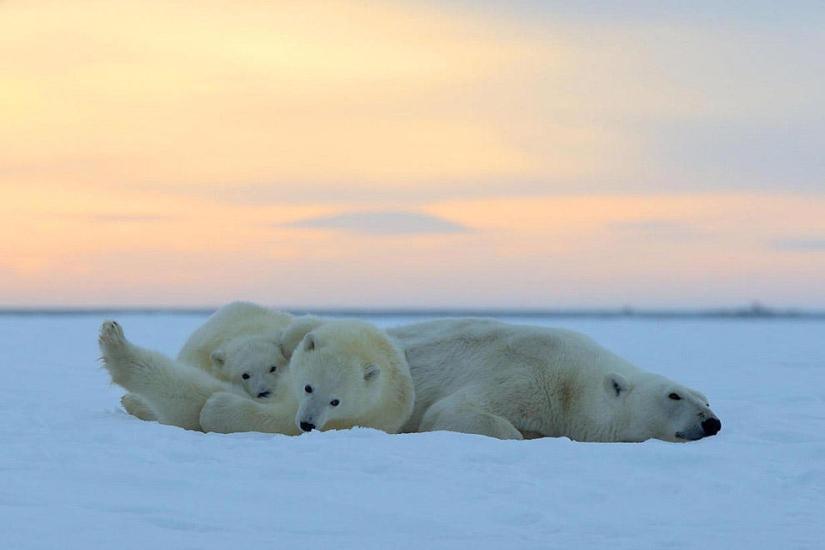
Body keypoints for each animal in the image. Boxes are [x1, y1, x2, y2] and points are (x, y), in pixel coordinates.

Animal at [199, 318, 415, 435]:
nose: (307, 424)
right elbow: (303, 329)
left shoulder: (348, 419)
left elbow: (276, 420)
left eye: (335, 401)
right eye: (308, 387)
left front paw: (214, 406)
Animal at [386, 318, 721, 442]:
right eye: (674, 395)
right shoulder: (525, 370)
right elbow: (449, 409)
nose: (712, 422)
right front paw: (518, 433)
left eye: (707, 399)